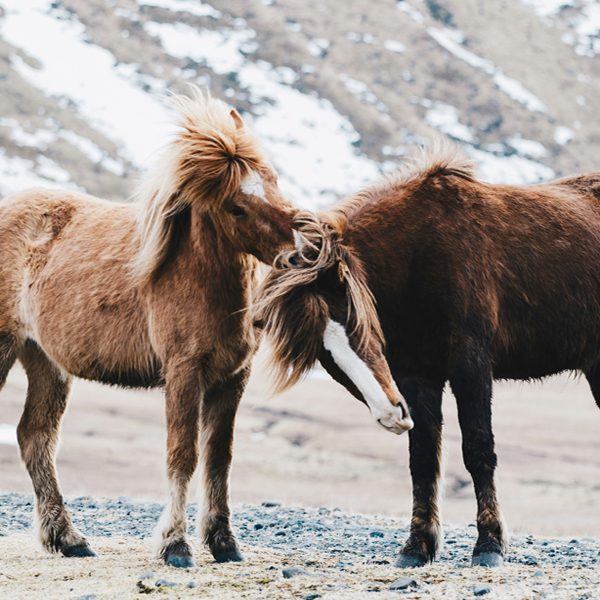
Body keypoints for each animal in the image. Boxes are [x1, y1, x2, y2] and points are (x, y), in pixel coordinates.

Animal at [0, 92, 298, 568]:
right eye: (235, 205)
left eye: (272, 178)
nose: (301, 249)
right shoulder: (183, 372)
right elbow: (183, 455)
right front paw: (175, 545)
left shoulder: (233, 378)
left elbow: (219, 458)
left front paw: (224, 542)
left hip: (45, 362)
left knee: (35, 438)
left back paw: (69, 539)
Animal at [254, 143, 600, 568]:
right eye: (323, 354)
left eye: (356, 320)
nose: (391, 415)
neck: (419, 253)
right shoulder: (416, 375)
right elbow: (422, 460)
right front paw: (417, 545)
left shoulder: (470, 364)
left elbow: (478, 449)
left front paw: (489, 544)